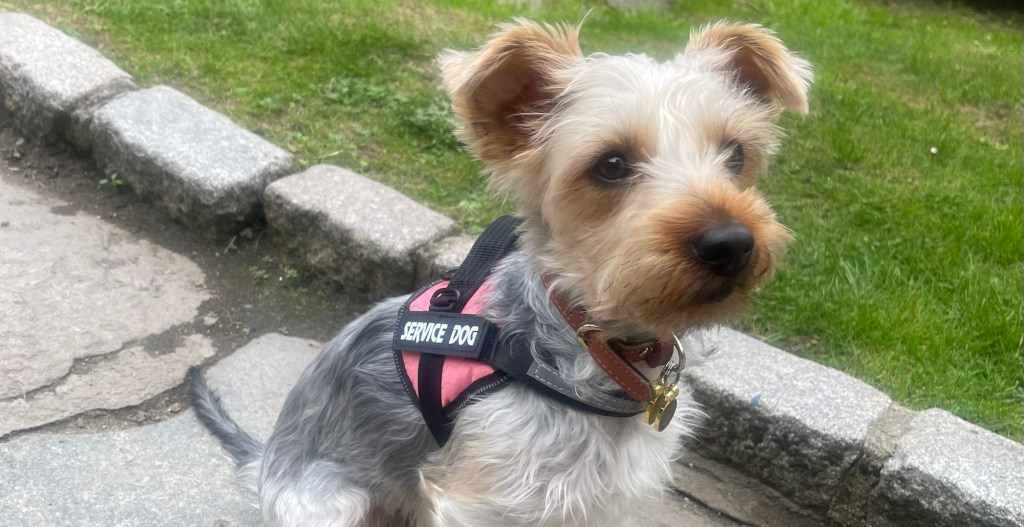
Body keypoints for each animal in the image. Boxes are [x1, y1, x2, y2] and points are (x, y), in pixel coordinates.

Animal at [190, 18, 811, 527]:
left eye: (736, 155)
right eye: (611, 164)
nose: (730, 242)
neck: (592, 346)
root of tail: (267, 459)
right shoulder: (485, 497)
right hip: (330, 499)